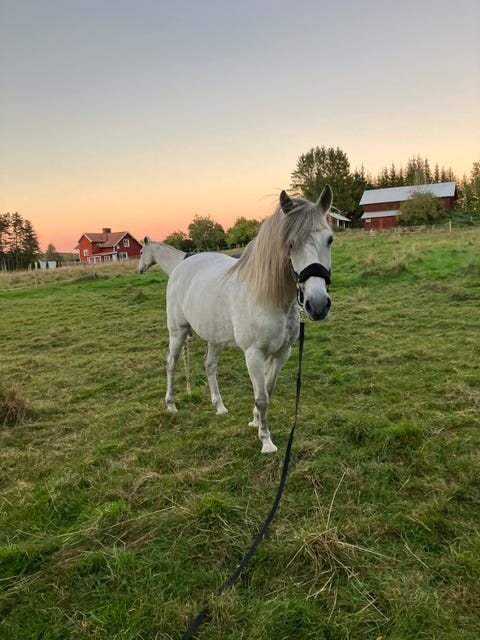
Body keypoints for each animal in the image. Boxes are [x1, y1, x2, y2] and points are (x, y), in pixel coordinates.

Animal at [137, 186, 334, 453]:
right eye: (290, 243)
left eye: (330, 239)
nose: (318, 305)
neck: (267, 297)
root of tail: (181, 267)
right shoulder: (254, 354)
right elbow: (262, 397)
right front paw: (266, 440)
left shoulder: (282, 353)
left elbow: (267, 390)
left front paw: (255, 421)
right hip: (178, 332)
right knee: (171, 362)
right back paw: (171, 404)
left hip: (215, 336)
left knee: (209, 365)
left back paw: (219, 406)